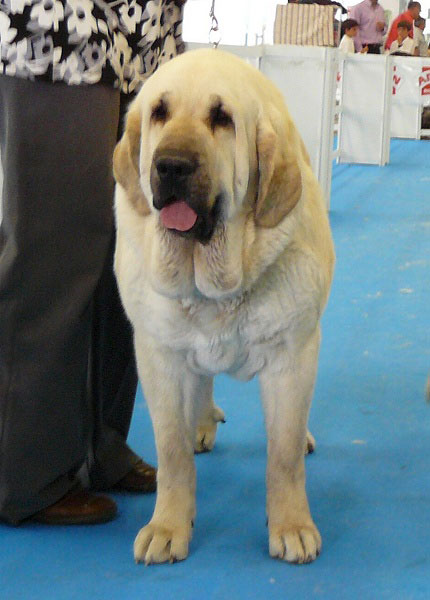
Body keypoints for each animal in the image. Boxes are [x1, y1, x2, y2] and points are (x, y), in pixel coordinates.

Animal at [114, 48, 336, 568]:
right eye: (159, 112)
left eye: (222, 119)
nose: (171, 165)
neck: (211, 285)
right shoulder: (160, 357)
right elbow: (171, 451)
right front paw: (167, 527)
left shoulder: (291, 357)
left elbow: (283, 454)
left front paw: (291, 526)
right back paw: (201, 423)